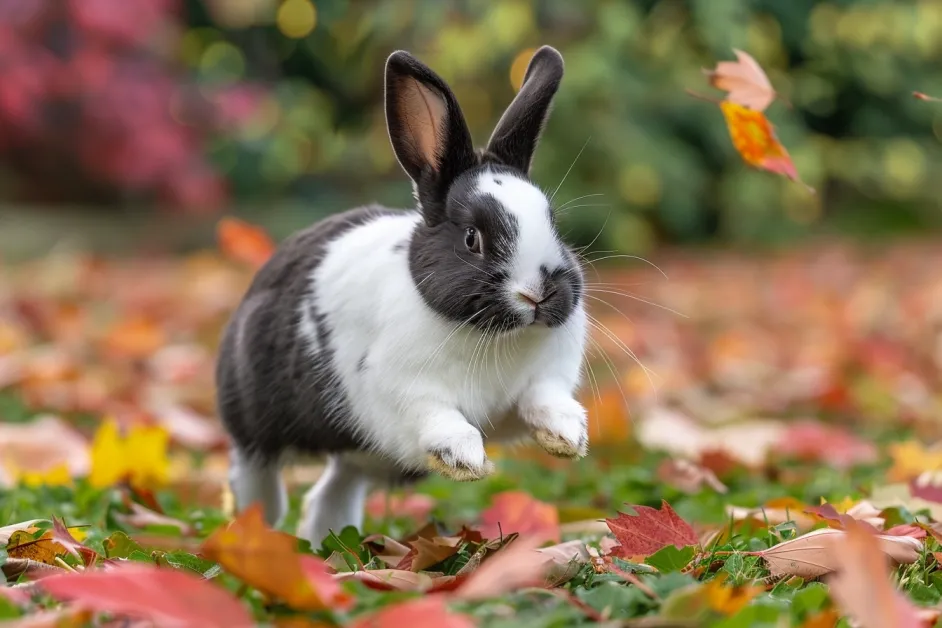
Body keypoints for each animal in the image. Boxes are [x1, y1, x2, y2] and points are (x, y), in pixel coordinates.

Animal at [218, 44, 592, 548]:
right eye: (472, 238)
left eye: (554, 225)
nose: (540, 293)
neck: (494, 335)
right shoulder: (406, 395)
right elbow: (440, 419)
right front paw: (465, 460)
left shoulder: (535, 387)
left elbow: (543, 400)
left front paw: (568, 437)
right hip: (256, 425)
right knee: (254, 478)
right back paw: (254, 529)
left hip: (361, 455)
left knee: (330, 493)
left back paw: (326, 542)